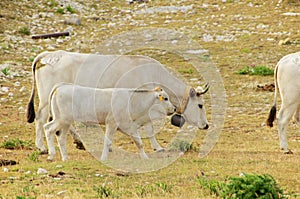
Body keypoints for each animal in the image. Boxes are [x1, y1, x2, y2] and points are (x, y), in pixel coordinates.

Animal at [27, 50, 210, 153]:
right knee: (42, 118)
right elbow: (149, 127)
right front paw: (157, 147)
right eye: (200, 105)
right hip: (46, 100)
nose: (206, 125)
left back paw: (79, 142)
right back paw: (41, 147)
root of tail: (49, 55)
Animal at [43, 83, 175, 161]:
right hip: (62, 119)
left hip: (64, 121)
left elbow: (138, 142)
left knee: (60, 137)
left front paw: (145, 157)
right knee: (48, 129)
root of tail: (61, 87)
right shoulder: (112, 123)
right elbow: (107, 141)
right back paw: (52, 155)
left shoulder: (127, 126)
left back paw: (64, 157)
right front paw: (103, 158)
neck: (132, 102)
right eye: (165, 98)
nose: (174, 109)